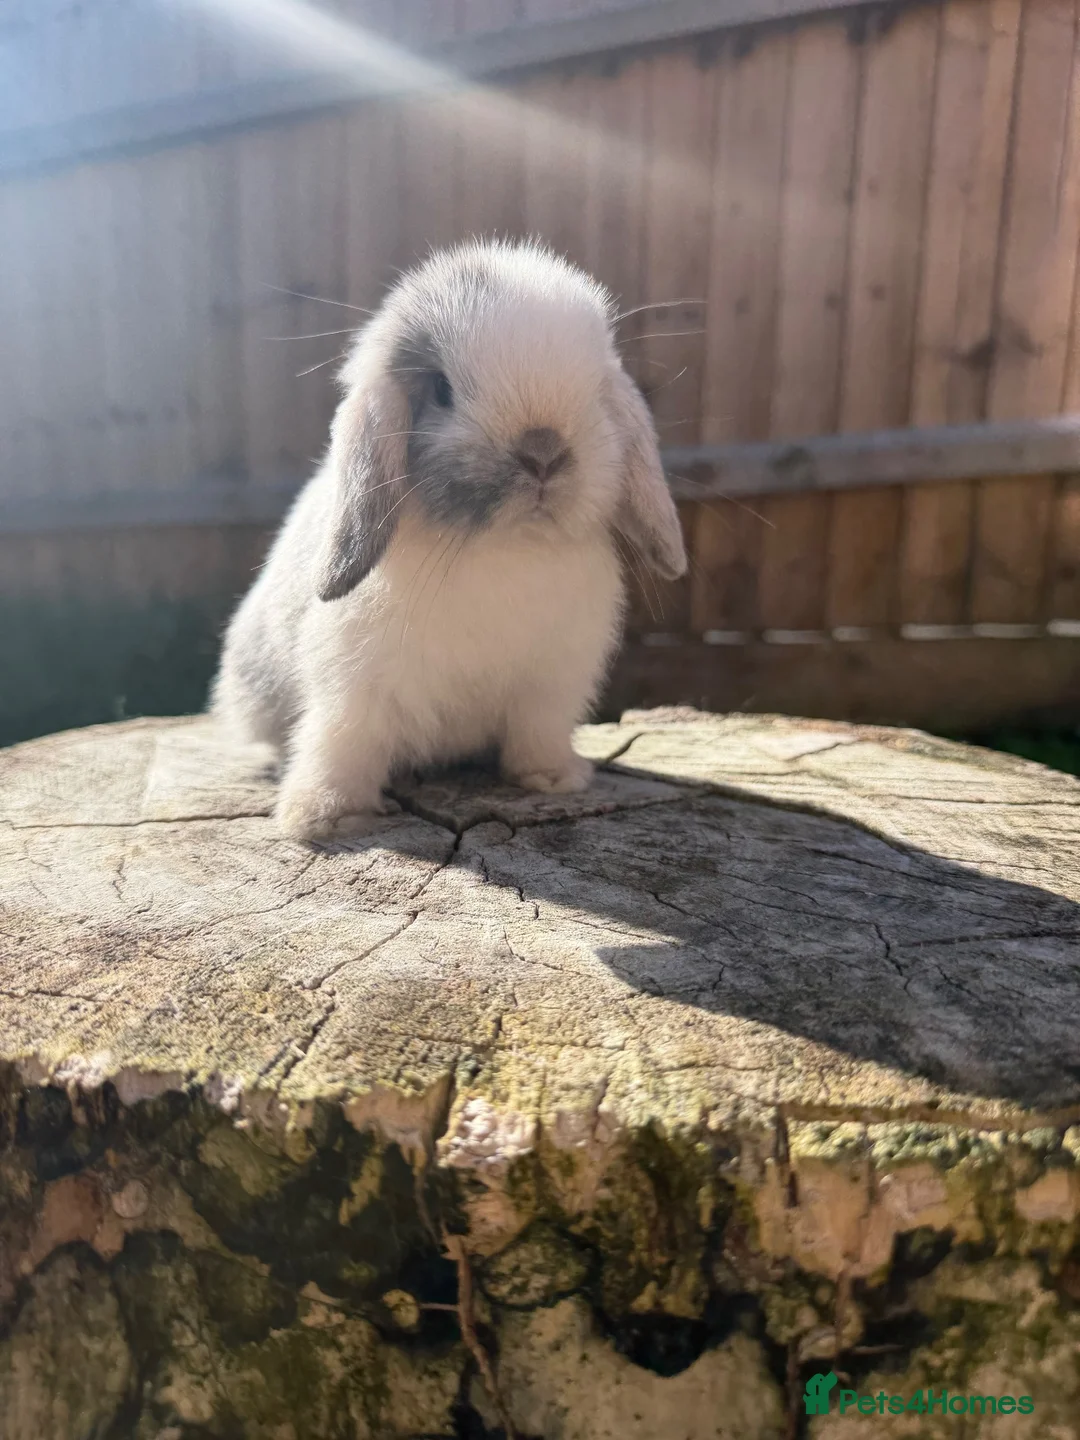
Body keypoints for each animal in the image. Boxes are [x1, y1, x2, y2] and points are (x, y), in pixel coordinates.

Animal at [211, 237, 687, 840]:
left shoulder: (550, 688)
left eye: (597, 392)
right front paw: (326, 817)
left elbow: (538, 736)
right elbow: (341, 744)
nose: (544, 452)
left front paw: (556, 779)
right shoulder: (354, 690)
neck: (504, 548)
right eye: (441, 389)